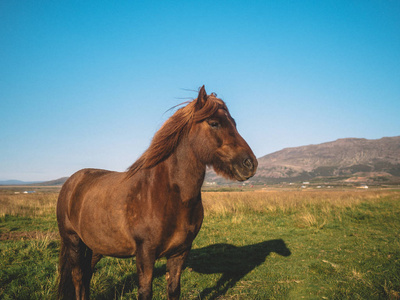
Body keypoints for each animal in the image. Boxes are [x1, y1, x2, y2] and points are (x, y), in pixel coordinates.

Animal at [56, 85, 258, 298]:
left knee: (87, 275)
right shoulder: (145, 253)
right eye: (214, 123)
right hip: (74, 242)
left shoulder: (180, 252)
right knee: (79, 278)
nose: (250, 164)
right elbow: (145, 292)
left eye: (234, 123)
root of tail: (71, 182)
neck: (167, 195)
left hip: (96, 246)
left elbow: (174, 289)